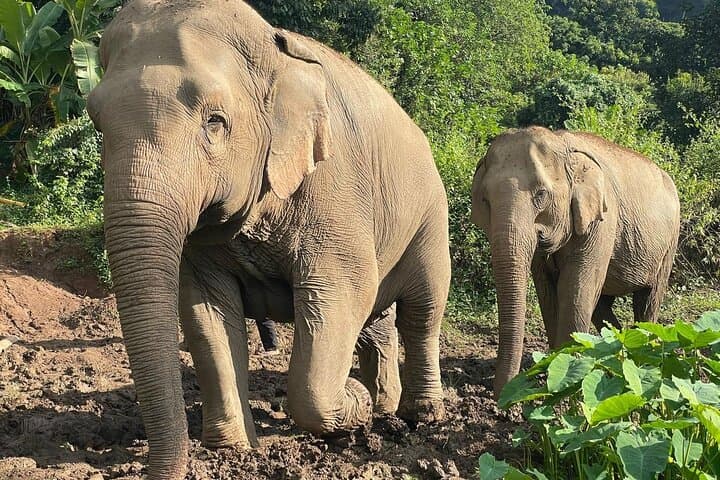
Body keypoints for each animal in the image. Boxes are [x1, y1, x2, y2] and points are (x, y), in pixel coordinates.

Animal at [86, 1, 451, 478]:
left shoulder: (335, 190)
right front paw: (233, 451)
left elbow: (342, 291)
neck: (272, 49)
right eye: (97, 123)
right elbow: (205, 312)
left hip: (431, 215)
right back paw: (383, 403)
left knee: (423, 310)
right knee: (377, 321)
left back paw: (418, 417)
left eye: (215, 122)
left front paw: (354, 402)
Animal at [470, 127, 680, 397]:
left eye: (541, 194)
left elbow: (575, 289)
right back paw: (614, 342)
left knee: (648, 299)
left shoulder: (602, 221)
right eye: (485, 200)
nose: (501, 399)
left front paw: (569, 369)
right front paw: (555, 363)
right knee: (601, 303)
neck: (561, 142)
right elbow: (548, 293)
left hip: (669, 243)